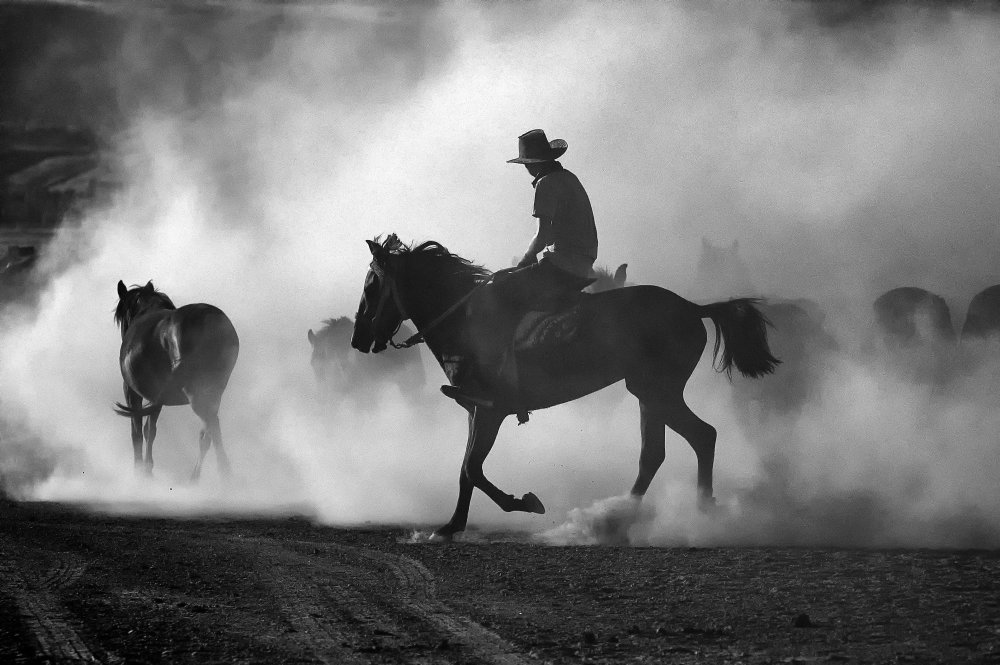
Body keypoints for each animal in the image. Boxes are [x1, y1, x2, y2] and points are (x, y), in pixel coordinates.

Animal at [114, 278, 239, 478]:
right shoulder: (156, 395)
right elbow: (150, 429)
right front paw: (147, 469)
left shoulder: (132, 391)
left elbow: (137, 432)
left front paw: (140, 471)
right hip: (213, 391)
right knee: (207, 432)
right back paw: (197, 478)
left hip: (195, 391)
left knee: (211, 426)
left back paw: (224, 474)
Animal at [354, 236, 780, 536]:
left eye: (372, 287)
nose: (359, 339)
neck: (464, 321)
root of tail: (693, 307)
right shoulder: (474, 410)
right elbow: (465, 469)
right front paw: (451, 526)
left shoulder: (490, 411)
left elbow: (473, 468)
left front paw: (525, 502)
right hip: (647, 392)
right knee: (657, 453)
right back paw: (619, 520)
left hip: (657, 390)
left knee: (700, 436)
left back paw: (690, 514)